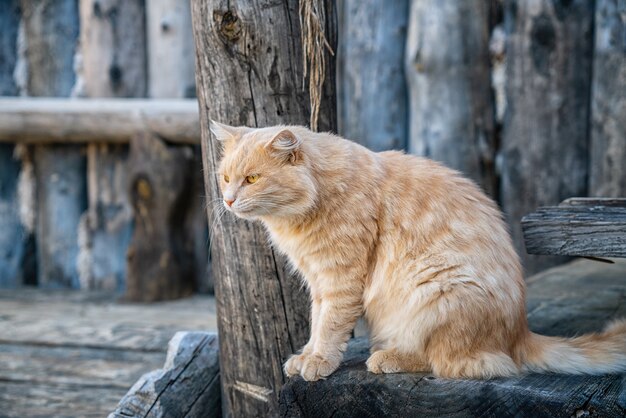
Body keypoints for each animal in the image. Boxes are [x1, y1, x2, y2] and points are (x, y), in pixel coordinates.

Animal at [211, 121, 624, 382]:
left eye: (252, 179)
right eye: (226, 177)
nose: (228, 200)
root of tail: (520, 331)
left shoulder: (341, 279)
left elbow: (329, 327)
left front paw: (318, 362)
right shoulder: (319, 281)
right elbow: (317, 323)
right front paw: (307, 356)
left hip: (437, 289)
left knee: (454, 363)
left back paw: (387, 358)